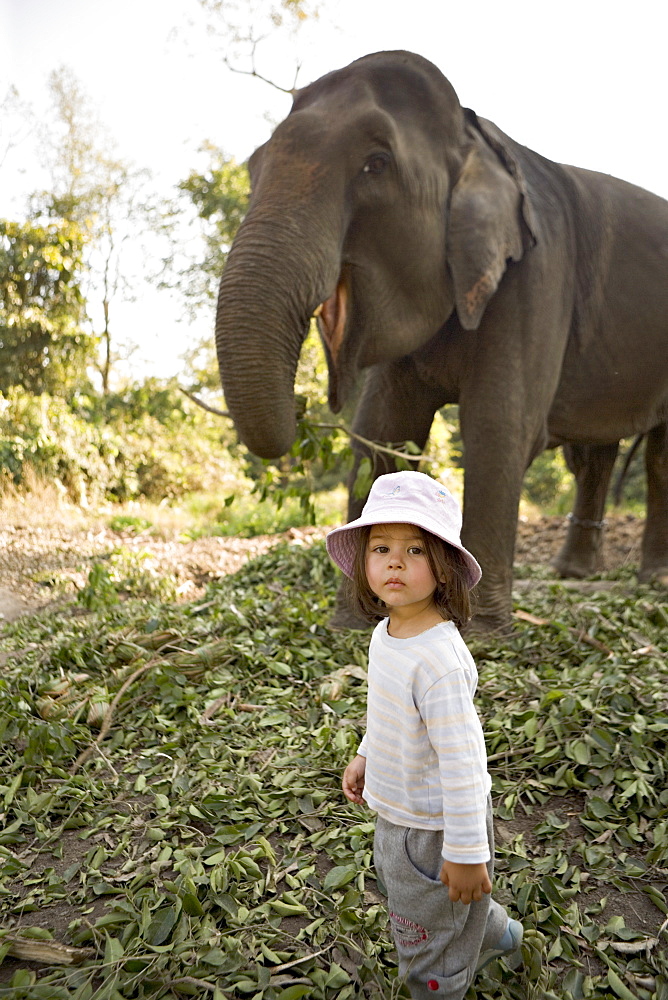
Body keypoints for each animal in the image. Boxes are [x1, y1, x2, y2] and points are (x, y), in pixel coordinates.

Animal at [215, 50, 668, 628]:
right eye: (253, 166)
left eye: (376, 164)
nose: (305, 414)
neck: (476, 138)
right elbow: (385, 427)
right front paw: (356, 620)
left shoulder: (536, 276)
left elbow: (498, 425)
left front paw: (479, 627)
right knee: (599, 451)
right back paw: (574, 574)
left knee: (657, 453)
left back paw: (654, 579)